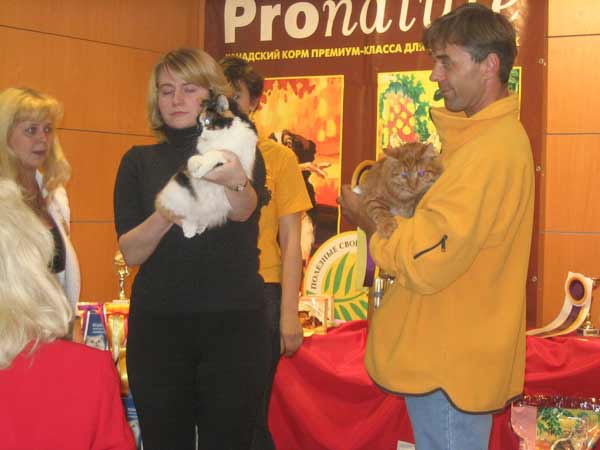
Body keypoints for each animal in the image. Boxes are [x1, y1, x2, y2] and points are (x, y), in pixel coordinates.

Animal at [155, 93, 258, 238]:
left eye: (207, 122)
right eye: (198, 126)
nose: (199, 132)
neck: (222, 135)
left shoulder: (236, 158)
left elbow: (216, 153)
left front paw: (200, 168)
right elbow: (197, 158)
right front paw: (194, 164)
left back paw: (197, 228)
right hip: (178, 188)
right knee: (185, 215)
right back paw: (190, 229)